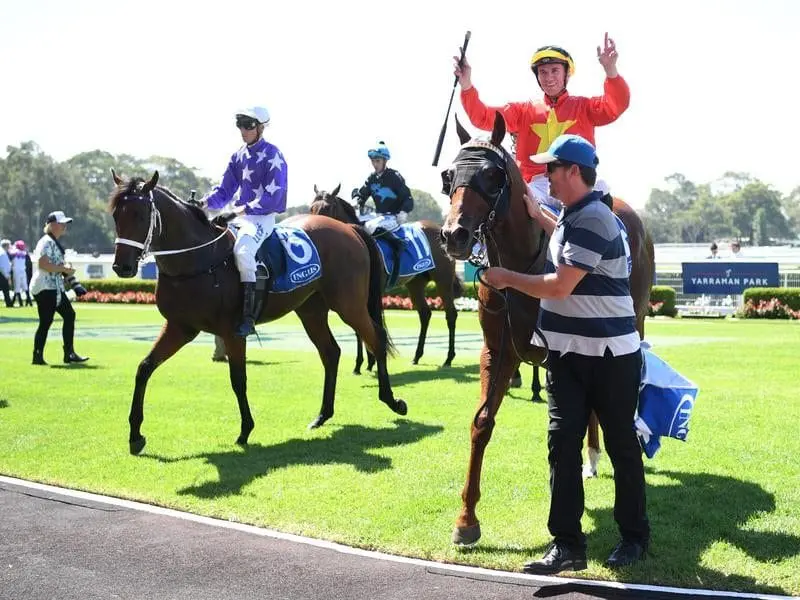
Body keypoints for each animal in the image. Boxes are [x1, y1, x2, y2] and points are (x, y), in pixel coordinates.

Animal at [108, 169, 406, 454]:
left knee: (375, 337)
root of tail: (348, 228)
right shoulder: (180, 327)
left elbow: (238, 379)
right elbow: (144, 368)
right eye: (116, 215)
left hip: (349, 305)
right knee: (331, 352)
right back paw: (322, 415)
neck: (200, 260)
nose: (122, 267)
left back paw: (392, 400)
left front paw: (245, 430)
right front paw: (135, 435)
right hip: (311, 311)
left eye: (140, 214)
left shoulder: (232, 331)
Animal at [310, 183, 466, 370]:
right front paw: (363, 364)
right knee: (424, 314)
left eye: (327, 207)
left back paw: (448, 358)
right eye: (311, 208)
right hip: (415, 283)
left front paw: (368, 362)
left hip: (443, 280)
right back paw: (417, 356)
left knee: (451, 314)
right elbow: (359, 328)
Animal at [438, 113, 656, 548]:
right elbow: (481, 423)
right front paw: (466, 519)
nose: (454, 235)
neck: (523, 260)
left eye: (492, 176)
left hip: (634, 324)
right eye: (448, 175)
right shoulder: (498, 349)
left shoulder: (561, 350)